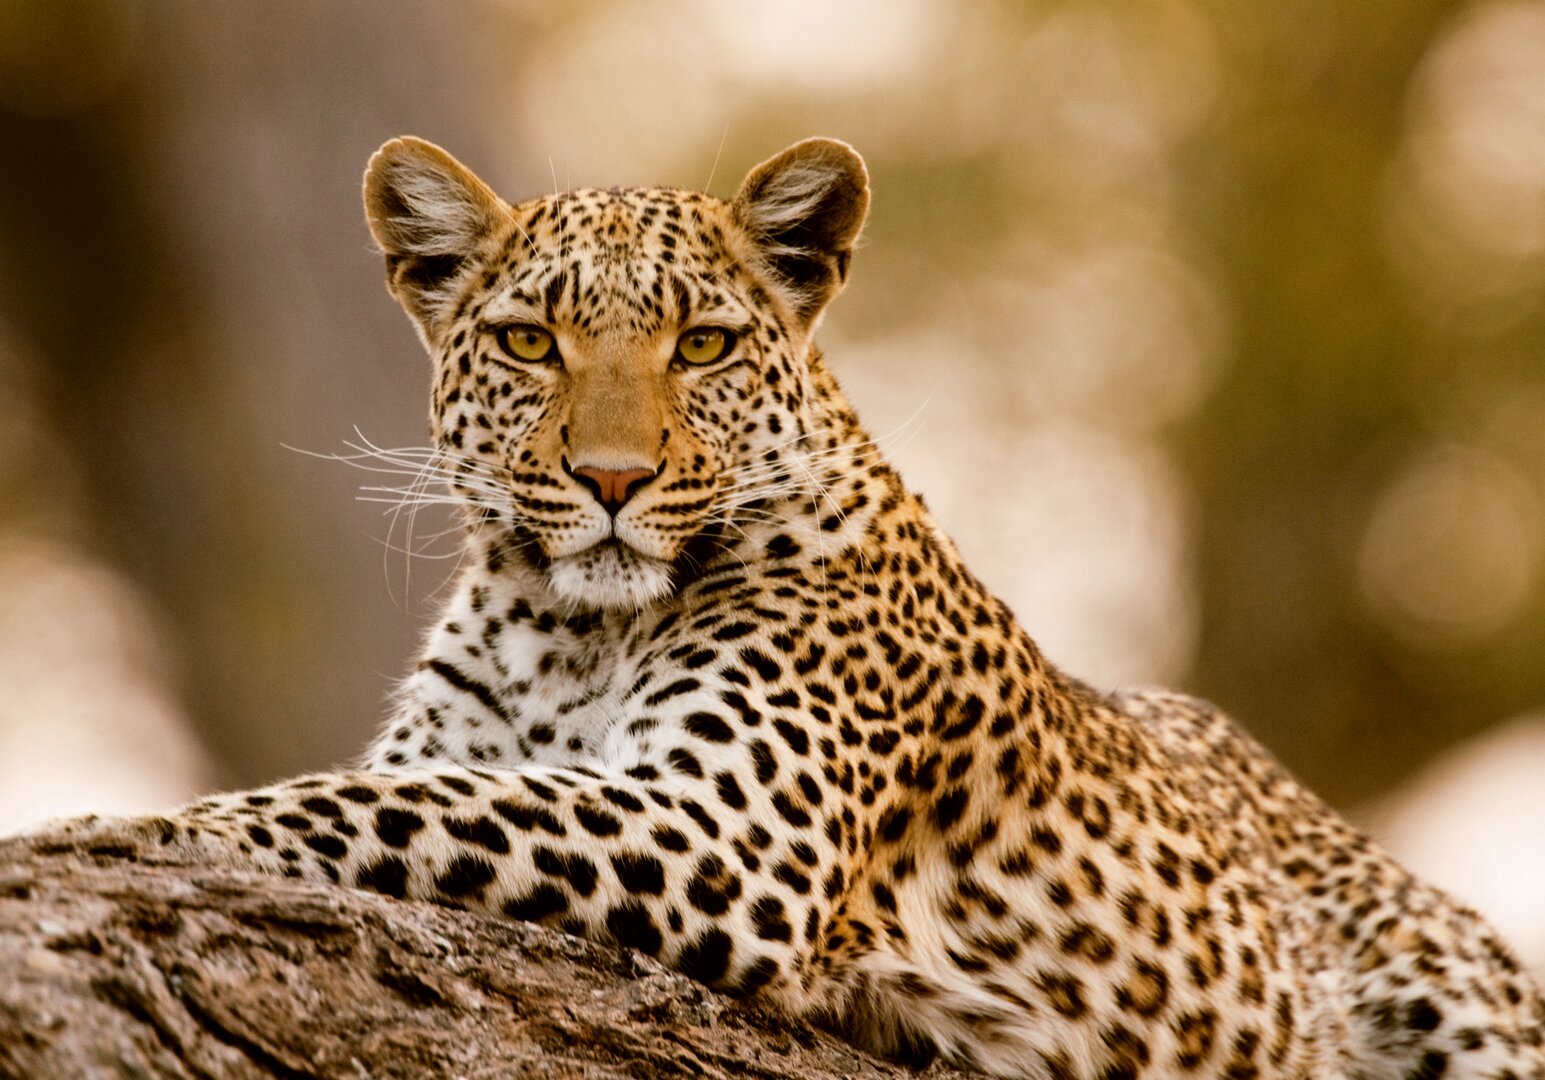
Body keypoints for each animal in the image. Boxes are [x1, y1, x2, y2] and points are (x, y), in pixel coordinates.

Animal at [25, 135, 1543, 1079]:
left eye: (703, 344)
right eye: (529, 341)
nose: (614, 479)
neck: (563, 629)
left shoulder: (731, 831)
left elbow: (376, 804)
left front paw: (107, 832)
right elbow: (408, 782)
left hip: (1463, 994)